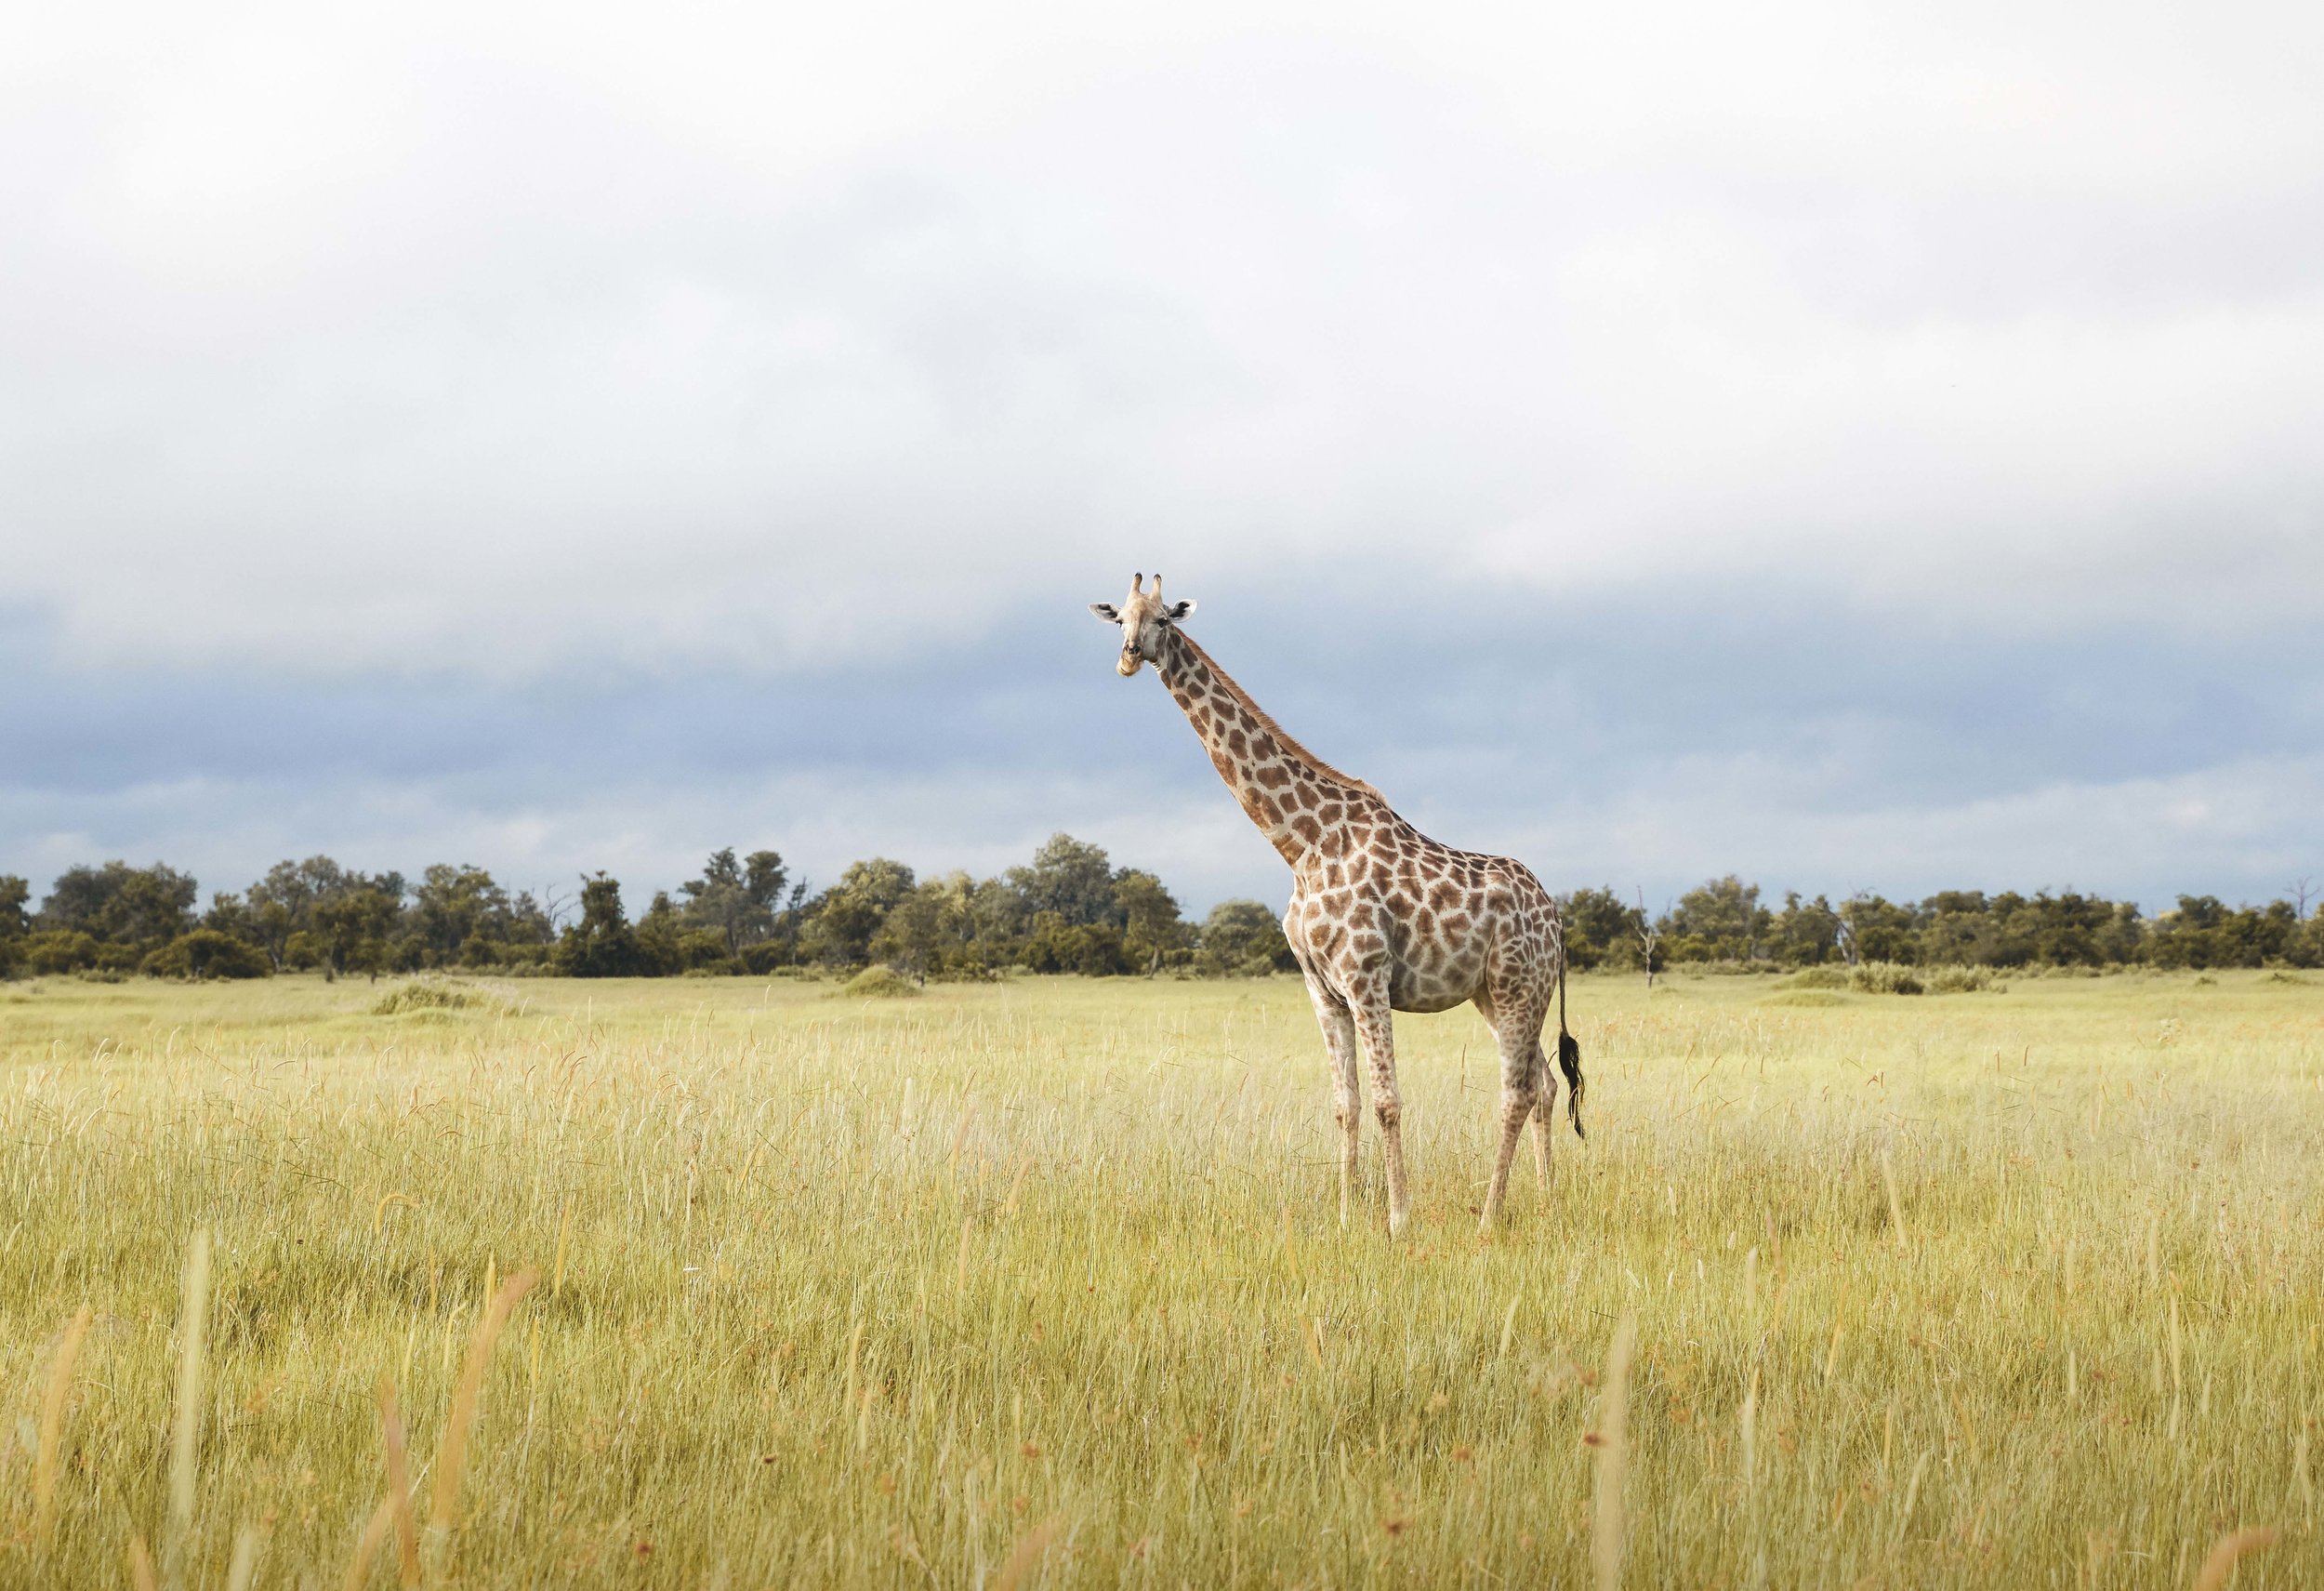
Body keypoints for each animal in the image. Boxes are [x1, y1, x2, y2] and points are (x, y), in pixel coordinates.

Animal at [1091, 573, 1583, 1236]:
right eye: (1120, 618)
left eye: (1164, 618)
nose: (1128, 658)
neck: (1302, 845)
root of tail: (1556, 919)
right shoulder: (1322, 989)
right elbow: (1345, 1104)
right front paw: (1349, 1215)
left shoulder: (1367, 977)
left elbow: (1387, 1101)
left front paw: (1398, 1218)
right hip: (1496, 993)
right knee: (1547, 1085)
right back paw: (1547, 1200)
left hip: (1517, 987)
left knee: (1519, 1091)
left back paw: (1488, 1217)